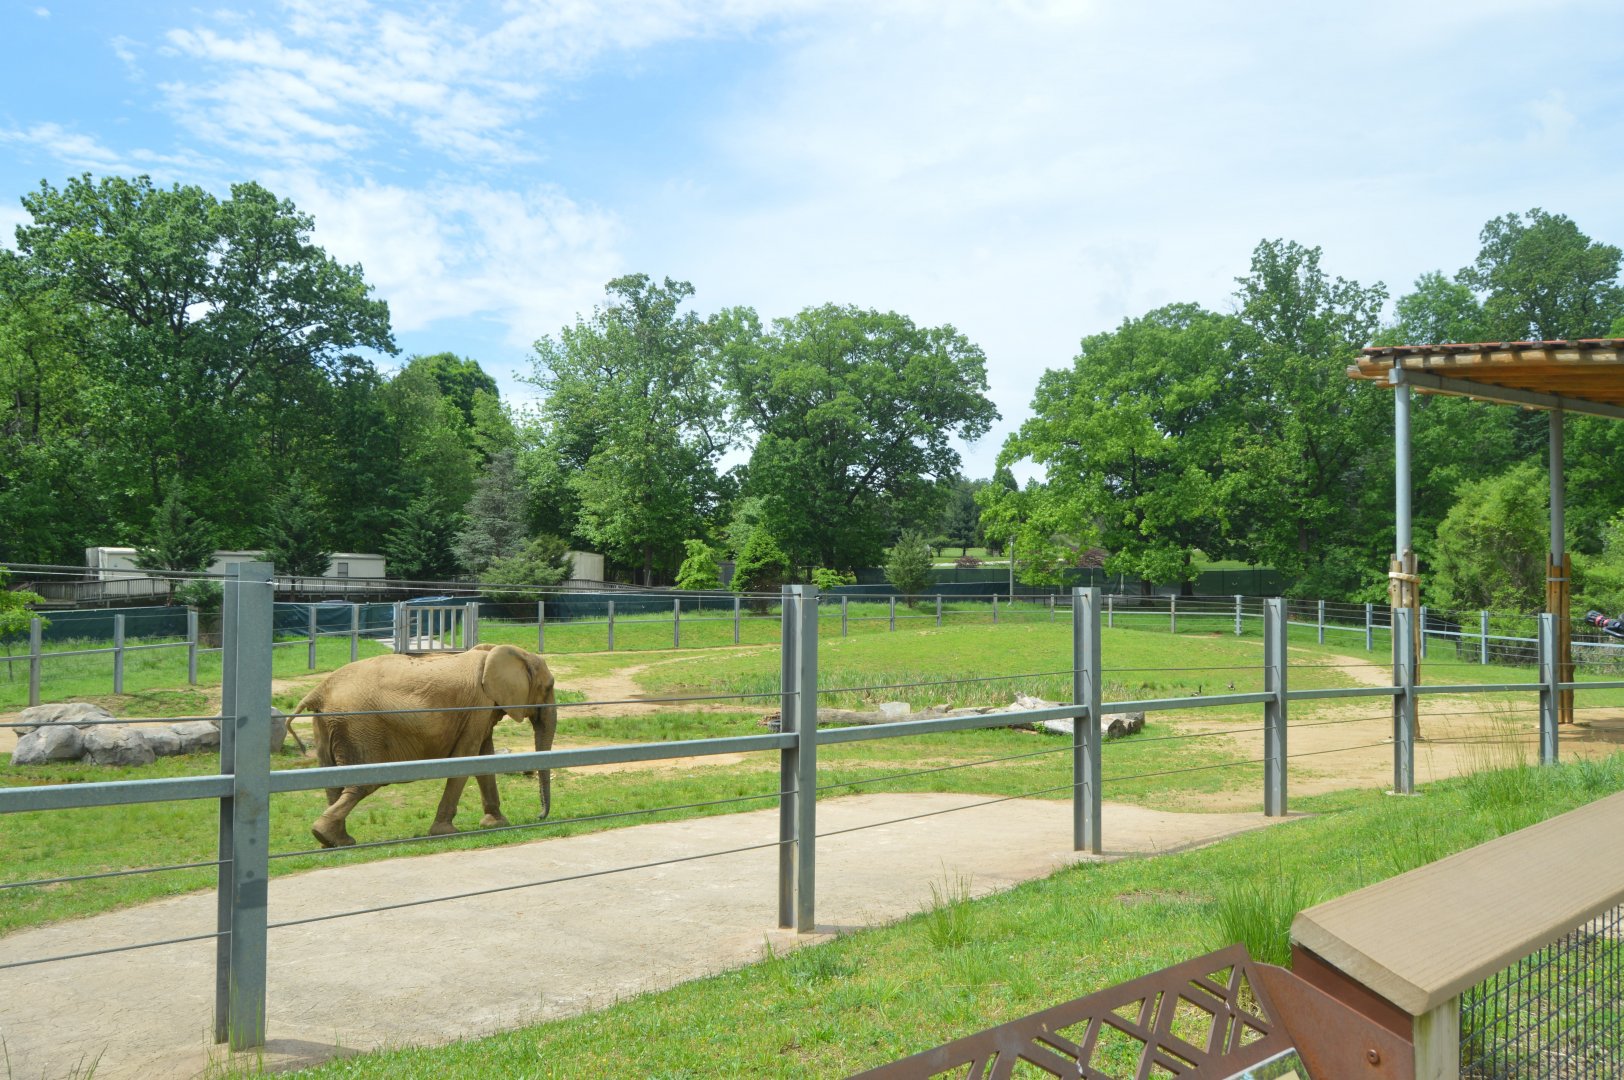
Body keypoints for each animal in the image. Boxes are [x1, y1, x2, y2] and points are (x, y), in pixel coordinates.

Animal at [293, 643, 558, 848]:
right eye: (548, 687)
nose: (539, 816)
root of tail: (318, 691)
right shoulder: (478, 707)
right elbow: (467, 757)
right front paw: (446, 832)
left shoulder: (481, 711)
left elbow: (484, 759)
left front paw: (497, 823)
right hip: (359, 727)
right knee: (362, 784)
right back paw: (330, 837)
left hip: (327, 725)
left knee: (333, 783)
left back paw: (334, 841)